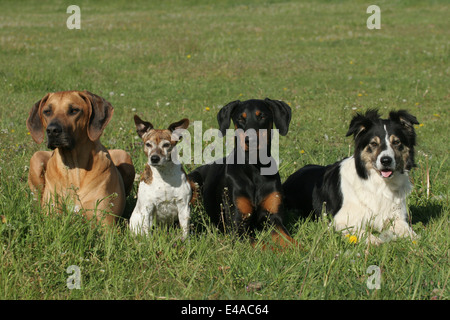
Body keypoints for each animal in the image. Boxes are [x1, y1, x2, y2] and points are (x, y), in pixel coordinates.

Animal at [26, 90, 134, 225]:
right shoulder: (50, 219)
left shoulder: (107, 224)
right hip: (36, 158)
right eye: (47, 111)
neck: (73, 167)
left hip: (125, 156)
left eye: (74, 110)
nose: (52, 130)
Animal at [188, 97, 298, 248]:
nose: (250, 140)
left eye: (262, 116)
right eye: (240, 118)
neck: (255, 169)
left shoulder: (275, 219)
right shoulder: (238, 226)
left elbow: (289, 240)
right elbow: (263, 246)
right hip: (192, 182)